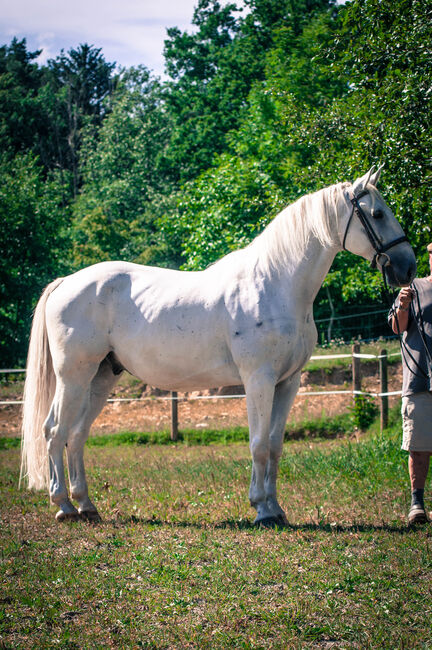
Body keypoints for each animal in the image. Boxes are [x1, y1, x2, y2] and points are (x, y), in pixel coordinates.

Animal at [20, 170, 416, 524]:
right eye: (377, 214)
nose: (407, 268)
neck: (276, 284)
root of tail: (67, 282)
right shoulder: (258, 380)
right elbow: (258, 444)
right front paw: (261, 510)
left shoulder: (288, 383)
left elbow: (275, 446)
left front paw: (276, 508)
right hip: (74, 376)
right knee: (54, 432)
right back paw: (64, 506)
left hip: (102, 377)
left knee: (76, 435)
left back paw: (87, 506)